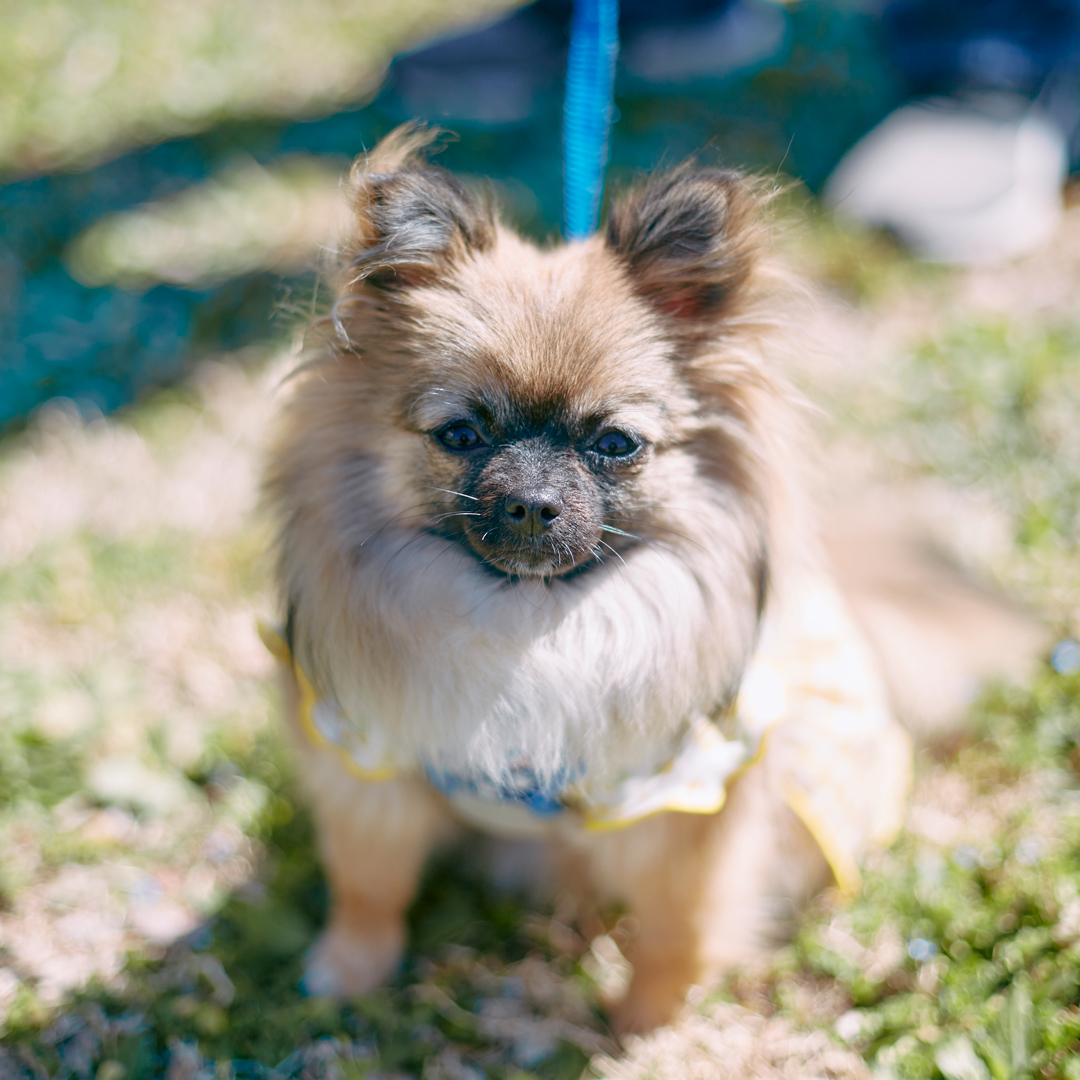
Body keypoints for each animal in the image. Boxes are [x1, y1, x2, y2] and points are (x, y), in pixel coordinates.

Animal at [259, 120, 920, 1036]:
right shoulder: (371, 765)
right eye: (460, 434)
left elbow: (677, 926)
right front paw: (351, 968)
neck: (531, 625)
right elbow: (368, 883)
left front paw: (646, 1023)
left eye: (614, 444)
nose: (532, 503)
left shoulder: (688, 803)